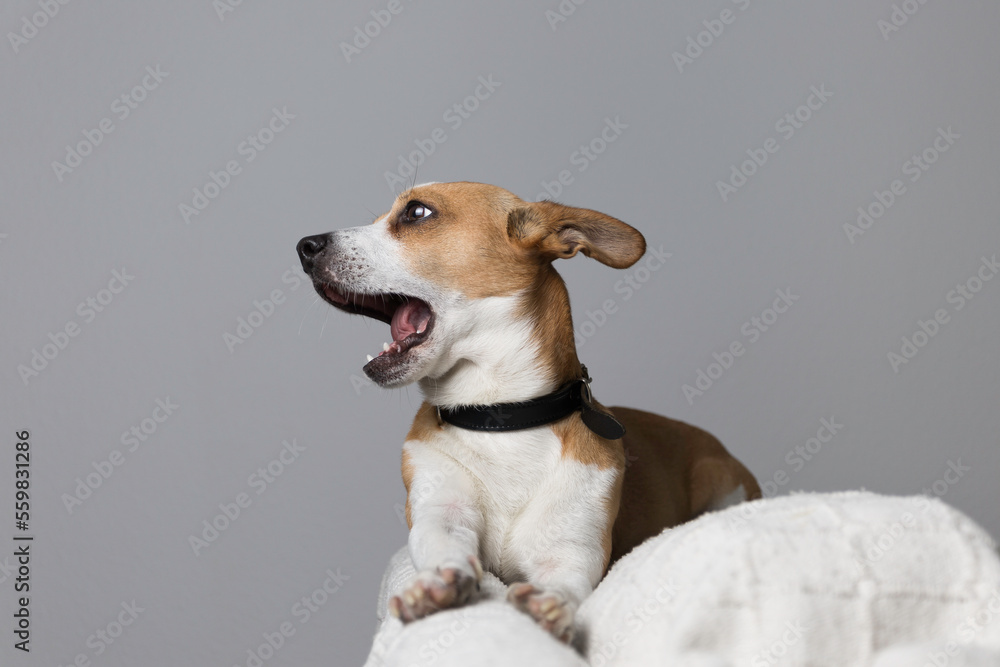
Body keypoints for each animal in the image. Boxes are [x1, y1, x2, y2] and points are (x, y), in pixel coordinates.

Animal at [294, 181, 756, 640]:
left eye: (416, 213)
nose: (304, 246)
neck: (500, 417)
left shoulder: (572, 549)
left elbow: (566, 581)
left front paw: (551, 605)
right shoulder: (440, 510)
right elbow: (443, 542)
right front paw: (438, 583)